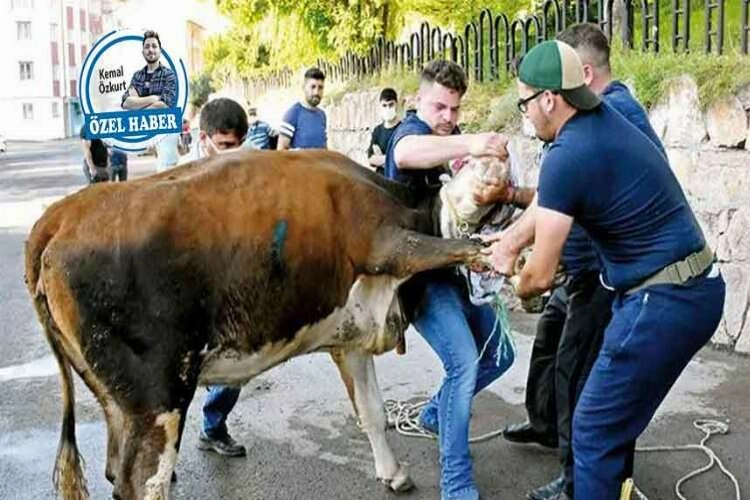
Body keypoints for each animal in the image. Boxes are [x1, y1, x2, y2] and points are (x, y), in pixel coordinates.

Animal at [25, 149, 488, 500]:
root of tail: (63, 214)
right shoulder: (382, 239)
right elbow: (450, 246)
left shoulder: (349, 338)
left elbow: (372, 411)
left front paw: (393, 473)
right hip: (158, 393)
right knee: (144, 480)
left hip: (117, 395)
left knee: (115, 467)